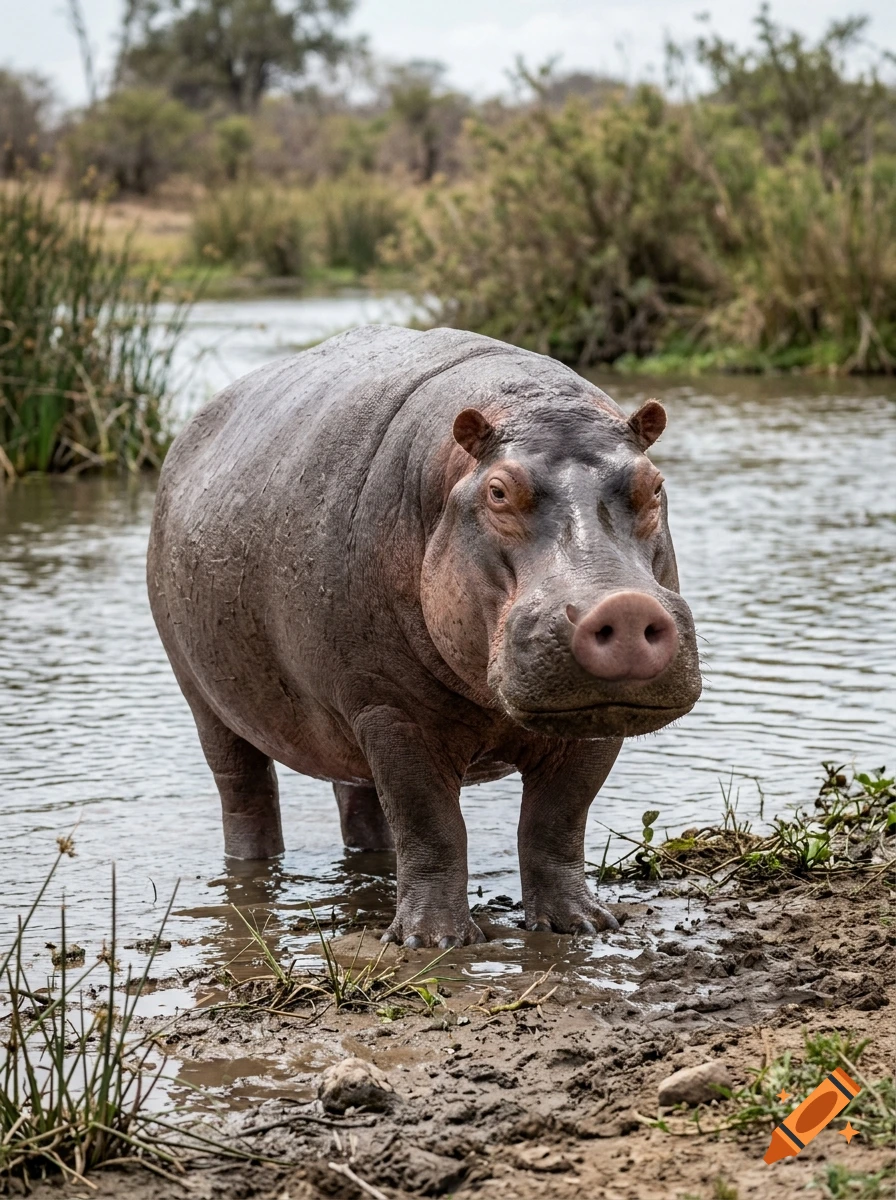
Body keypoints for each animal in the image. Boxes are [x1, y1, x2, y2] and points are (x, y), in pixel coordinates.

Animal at [147, 325, 701, 948]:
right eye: (498, 492)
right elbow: (431, 821)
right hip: (208, 700)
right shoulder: (391, 710)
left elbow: (557, 821)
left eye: (654, 485)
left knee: (362, 798)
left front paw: (579, 924)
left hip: (347, 718)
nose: (625, 606)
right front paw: (433, 940)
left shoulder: (592, 724)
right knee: (245, 793)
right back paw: (252, 869)